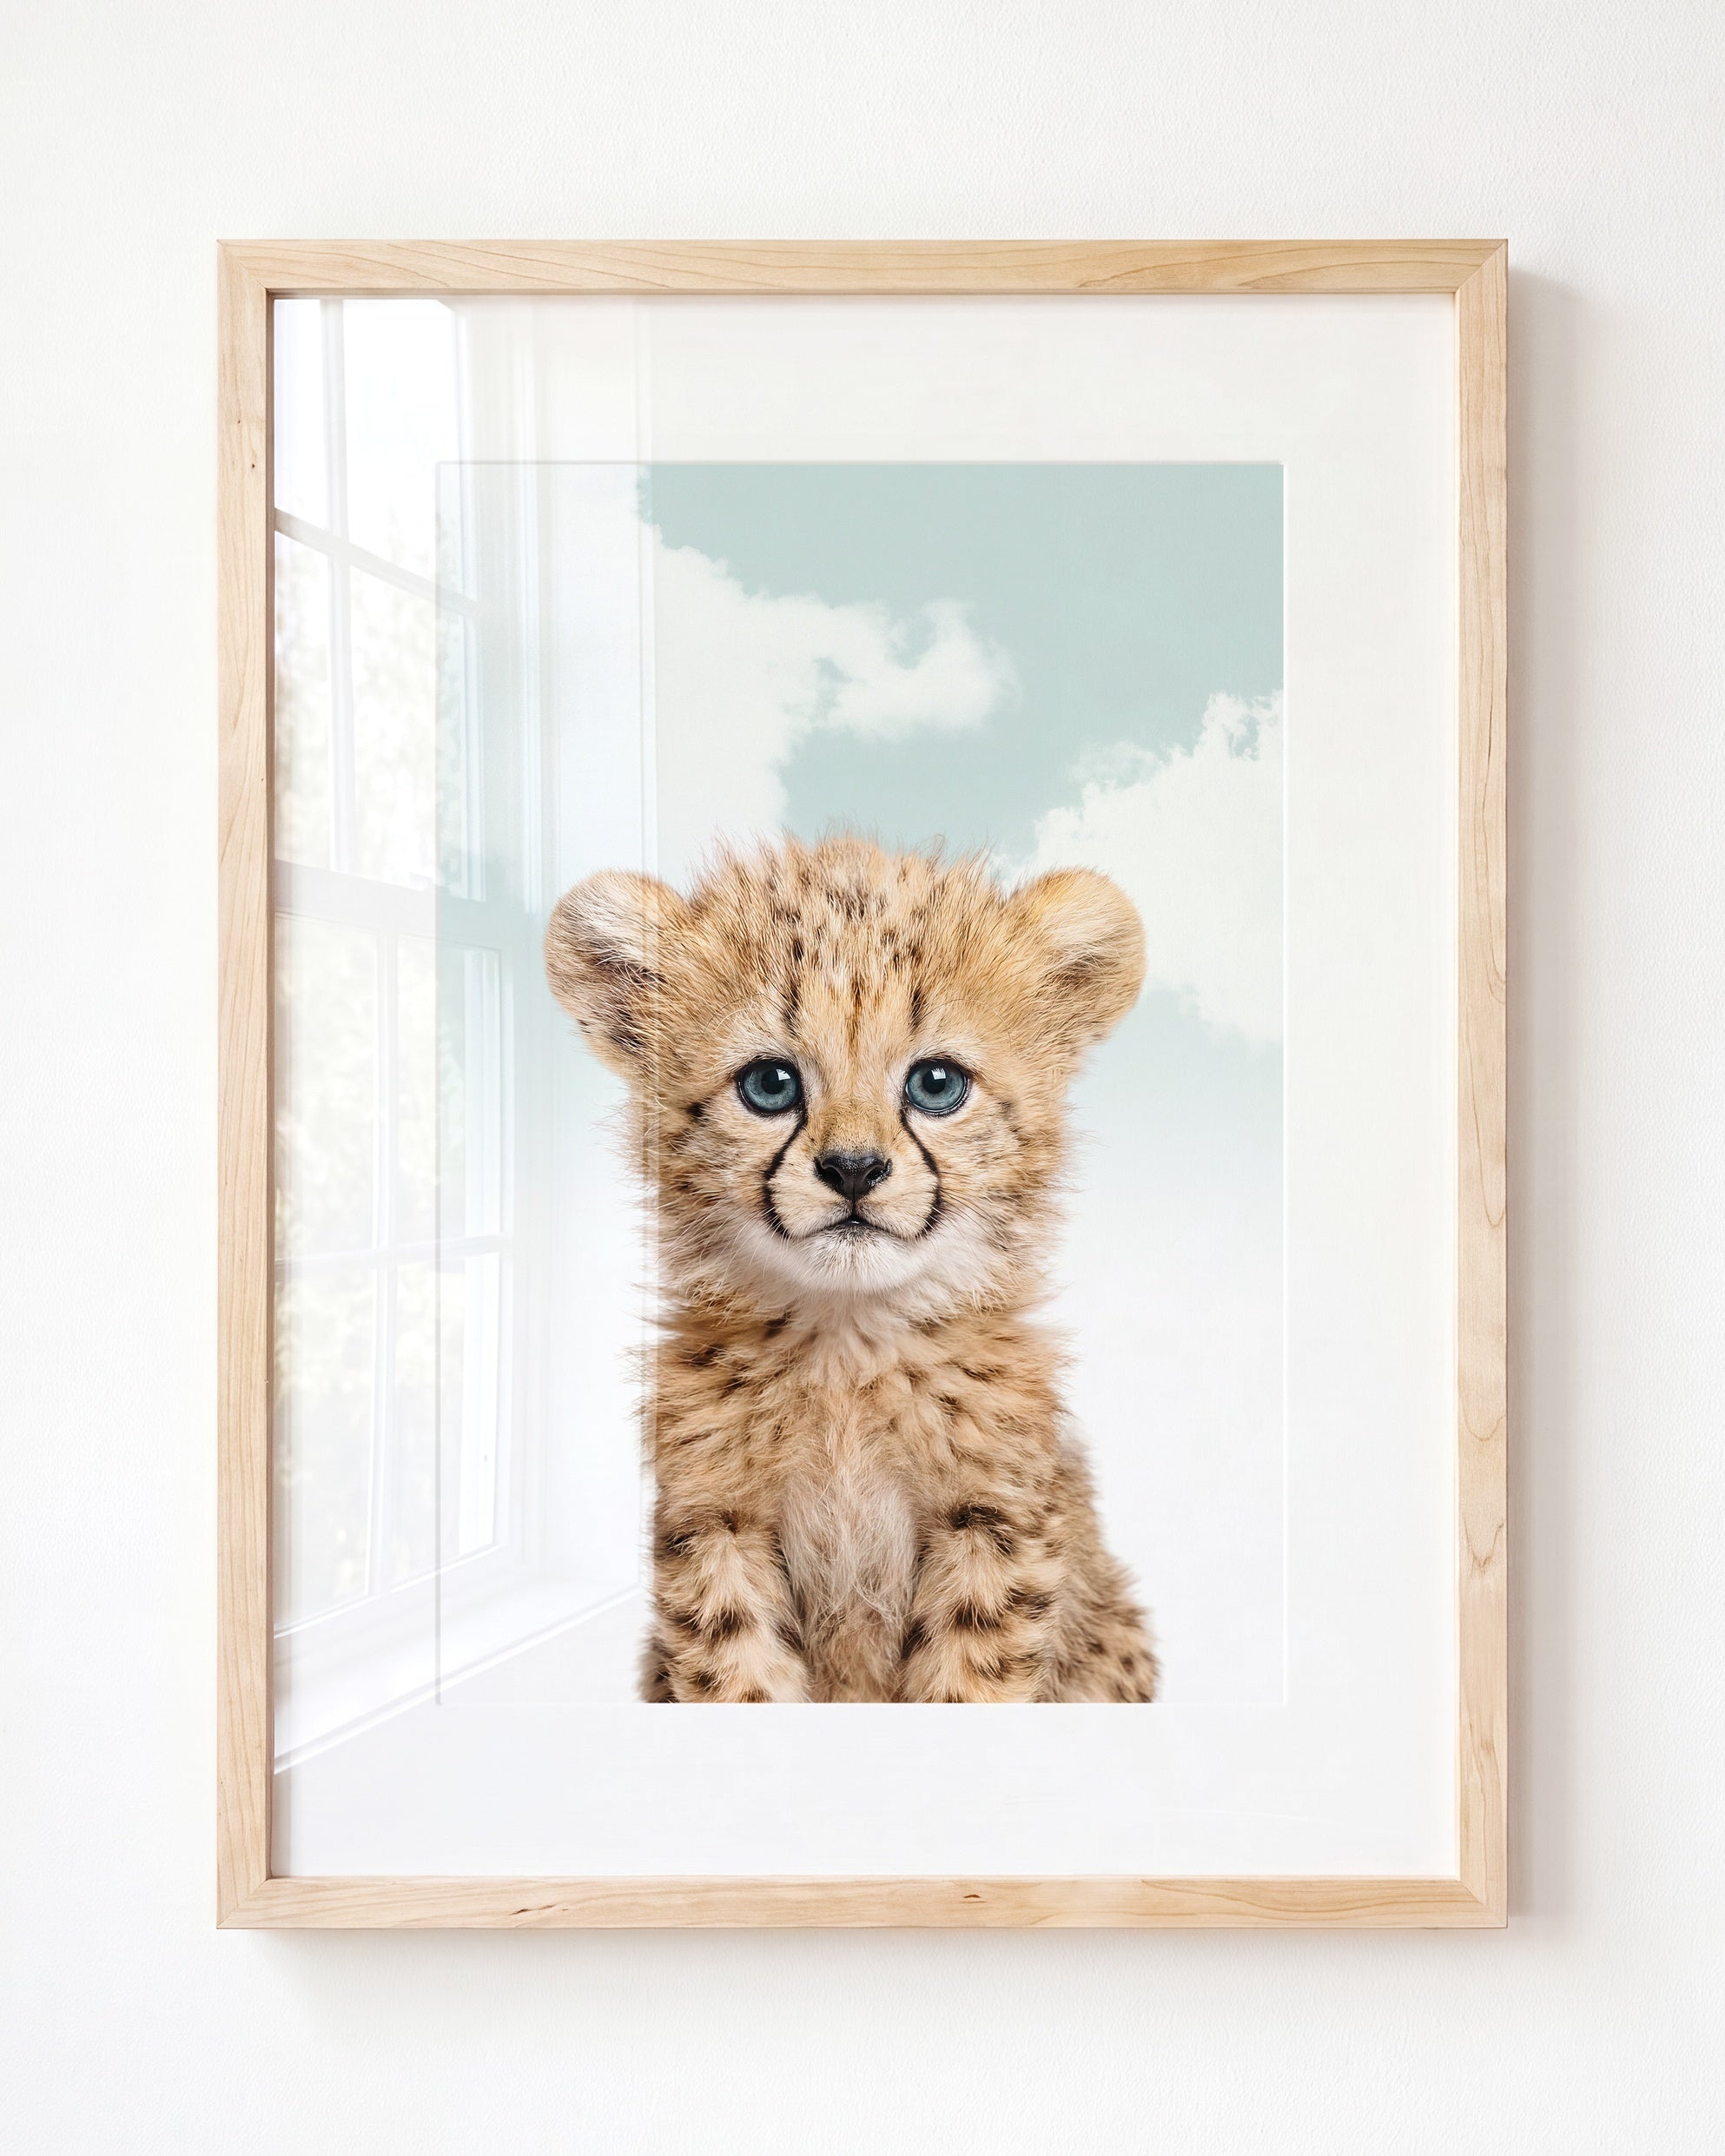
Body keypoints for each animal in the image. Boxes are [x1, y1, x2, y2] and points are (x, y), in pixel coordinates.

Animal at [544, 833, 1159, 1702]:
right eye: (770, 1084)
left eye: (936, 1083)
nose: (854, 1169)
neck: (848, 1343)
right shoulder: (716, 1526)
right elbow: (739, 1676)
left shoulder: (993, 1524)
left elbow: (969, 1680)